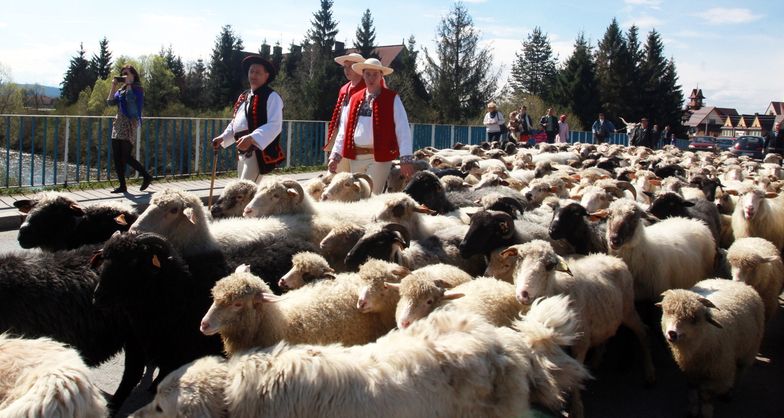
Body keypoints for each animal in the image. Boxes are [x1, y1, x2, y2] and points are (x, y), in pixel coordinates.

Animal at [660, 278, 764, 418]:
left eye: (694, 319)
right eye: (667, 312)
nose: (672, 333)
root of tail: (733, 281)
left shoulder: (719, 375)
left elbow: (706, 395)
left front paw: (706, 412)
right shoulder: (690, 372)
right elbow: (692, 392)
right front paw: (693, 410)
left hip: (749, 351)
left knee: (739, 372)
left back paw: (729, 393)